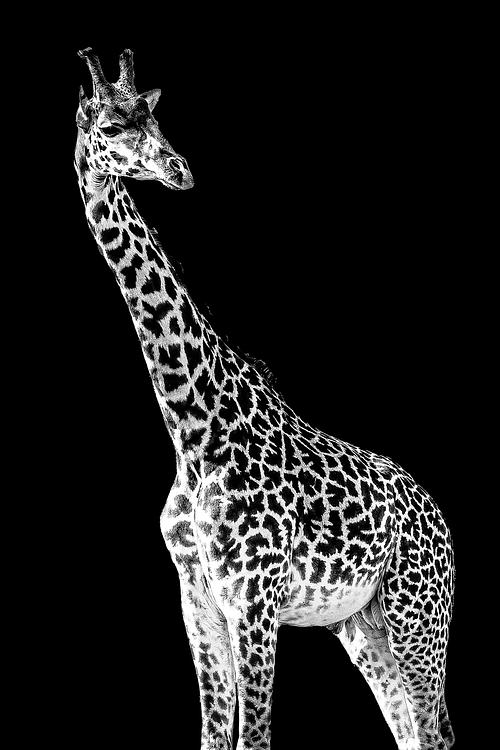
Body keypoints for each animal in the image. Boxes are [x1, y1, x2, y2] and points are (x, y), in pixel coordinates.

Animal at [75, 48, 455, 750]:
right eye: (110, 127)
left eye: (157, 120)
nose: (179, 170)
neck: (193, 430)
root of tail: (442, 519)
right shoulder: (198, 602)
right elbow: (214, 736)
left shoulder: (255, 601)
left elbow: (254, 737)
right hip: (364, 627)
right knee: (410, 729)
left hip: (419, 616)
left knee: (435, 730)